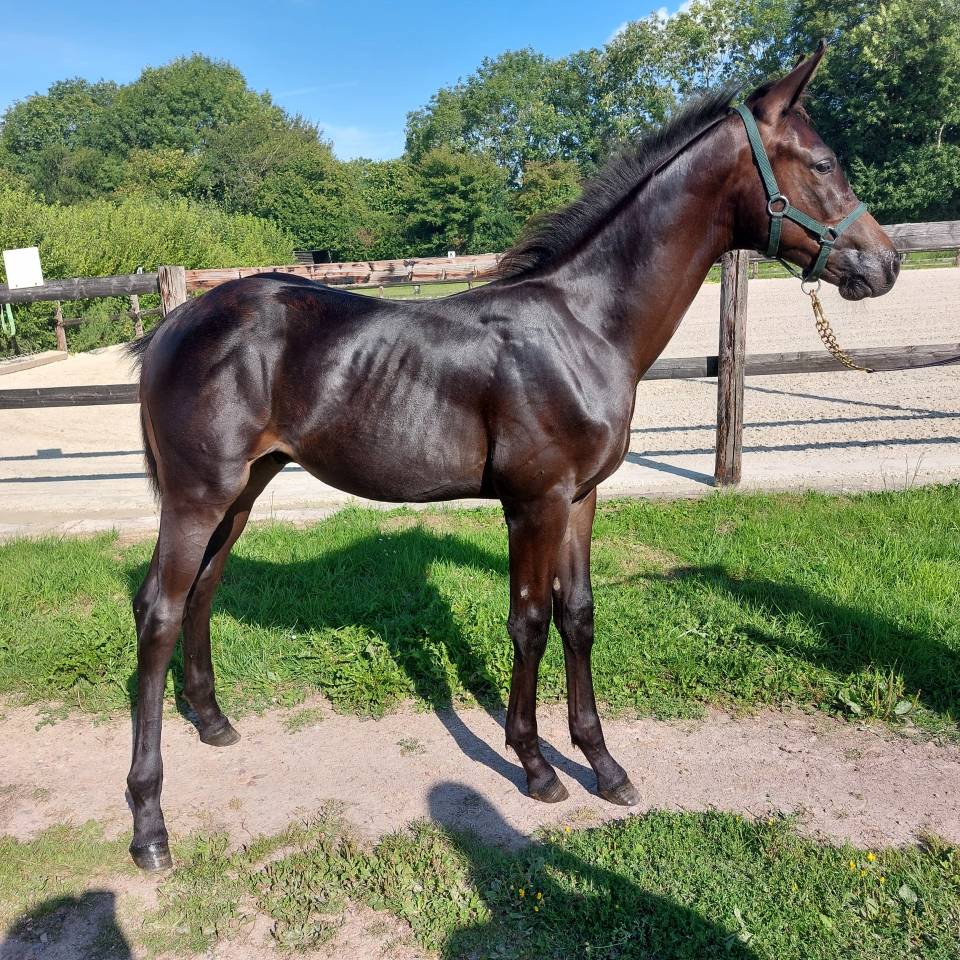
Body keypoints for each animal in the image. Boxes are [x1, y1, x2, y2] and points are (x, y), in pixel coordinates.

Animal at [124, 44, 899, 870]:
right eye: (822, 162)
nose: (883, 265)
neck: (584, 326)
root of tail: (175, 325)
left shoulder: (581, 499)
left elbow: (578, 617)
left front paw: (605, 766)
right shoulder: (535, 502)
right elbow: (528, 621)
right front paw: (534, 766)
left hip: (243, 490)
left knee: (203, 591)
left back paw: (213, 723)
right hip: (198, 496)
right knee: (160, 610)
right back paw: (150, 826)